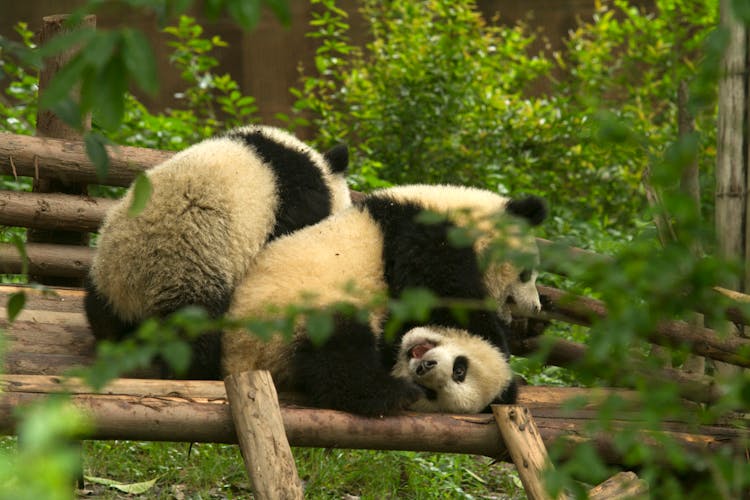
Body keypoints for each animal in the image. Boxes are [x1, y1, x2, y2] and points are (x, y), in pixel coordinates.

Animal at [83, 126, 354, 378]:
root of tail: (128, 291)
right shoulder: (298, 205)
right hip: (186, 270)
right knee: (195, 333)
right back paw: (195, 371)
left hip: (105, 273)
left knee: (100, 315)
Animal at [223, 184, 548, 414]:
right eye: (525, 273)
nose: (535, 306)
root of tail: (237, 360)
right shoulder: (424, 236)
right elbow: (441, 295)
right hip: (288, 315)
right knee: (338, 350)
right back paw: (388, 393)